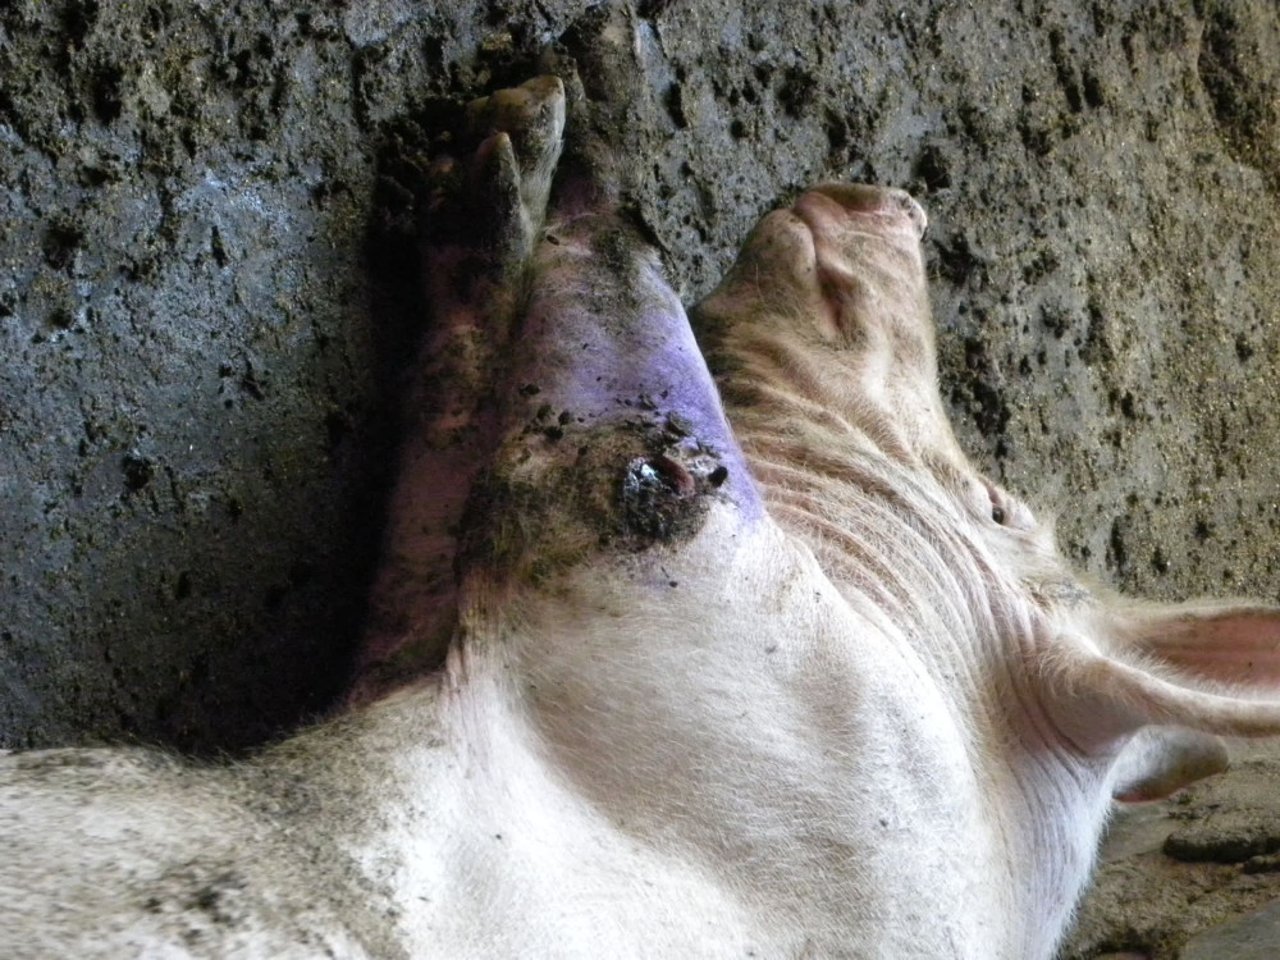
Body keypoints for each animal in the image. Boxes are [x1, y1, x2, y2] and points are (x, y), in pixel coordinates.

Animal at [2, 71, 1280, 960]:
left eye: (995, 504)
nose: (898, 200)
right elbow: (427, 511)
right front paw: (499, 136)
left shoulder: (728, 627)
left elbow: (608, 392)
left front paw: (567, 94)